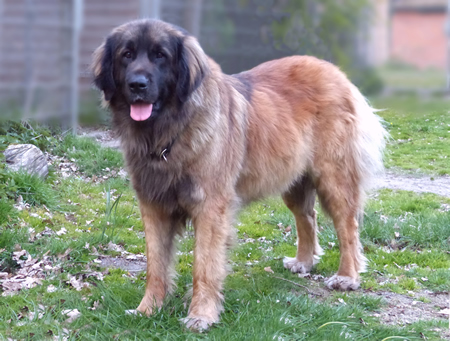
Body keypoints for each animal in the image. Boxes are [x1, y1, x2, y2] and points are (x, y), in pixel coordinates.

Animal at [92, 18, 386, 330]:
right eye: (126, 55)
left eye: (161, 55)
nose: (137, 84)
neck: (167, 134)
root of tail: (335, 72)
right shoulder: (153, 205)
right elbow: (156, 265)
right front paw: (148, 309)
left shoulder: (210, 208)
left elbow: (204, 265)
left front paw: (201, 315)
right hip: (293, 178)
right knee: (308, 216)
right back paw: (303, 261)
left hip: (334, 178)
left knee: (348, 226)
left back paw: (347, 276)